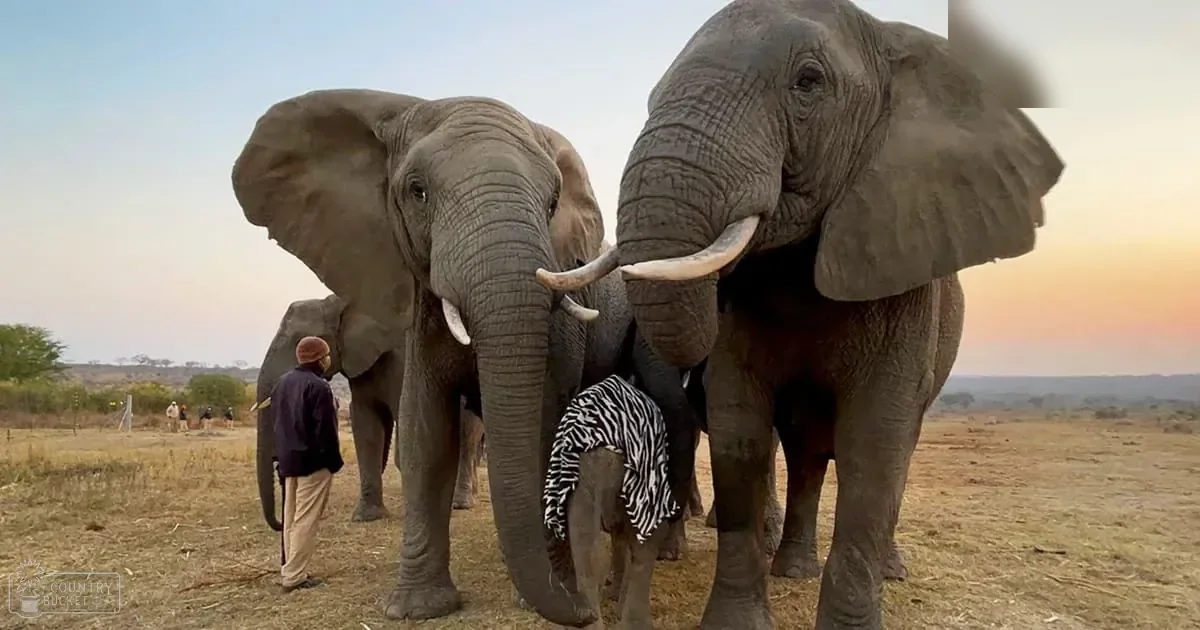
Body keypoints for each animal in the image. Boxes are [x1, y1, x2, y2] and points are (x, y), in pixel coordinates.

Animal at [250, 295, 486, 532]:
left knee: (466, 437)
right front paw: (367, 517)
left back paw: (460, 503)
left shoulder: (402, 358)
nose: (280, 524)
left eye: (301, 340)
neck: (339, 303)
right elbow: (365, 425)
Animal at [535, 0, 1064, 627]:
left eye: (808, 83)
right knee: (804, 452)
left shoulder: (904, 264)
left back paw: (885, 569)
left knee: (891, 445)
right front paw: (735, 621)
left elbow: (876, 440)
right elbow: (740, 429)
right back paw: (790, 568)